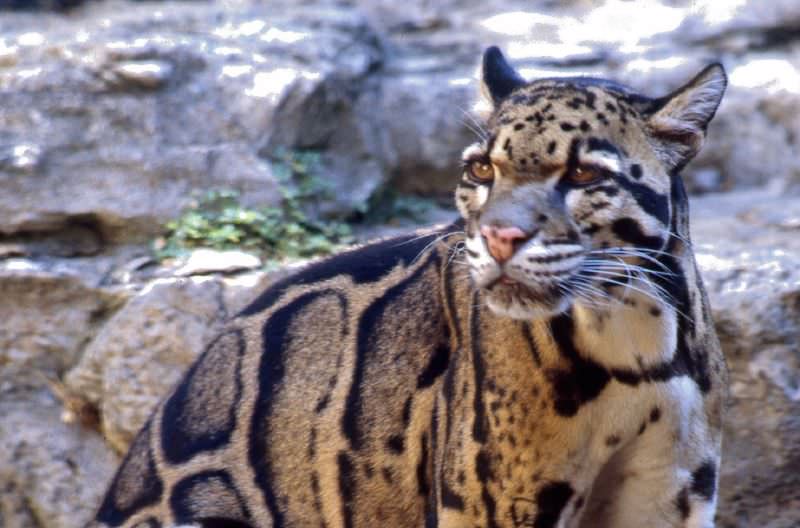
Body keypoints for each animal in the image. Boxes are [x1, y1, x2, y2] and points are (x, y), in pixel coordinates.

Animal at [90, 47, 728, 528]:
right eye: (481, 170)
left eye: (582, 173)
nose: (500, 237)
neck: (630, 336)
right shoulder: (494, 502)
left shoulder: (670, 493)